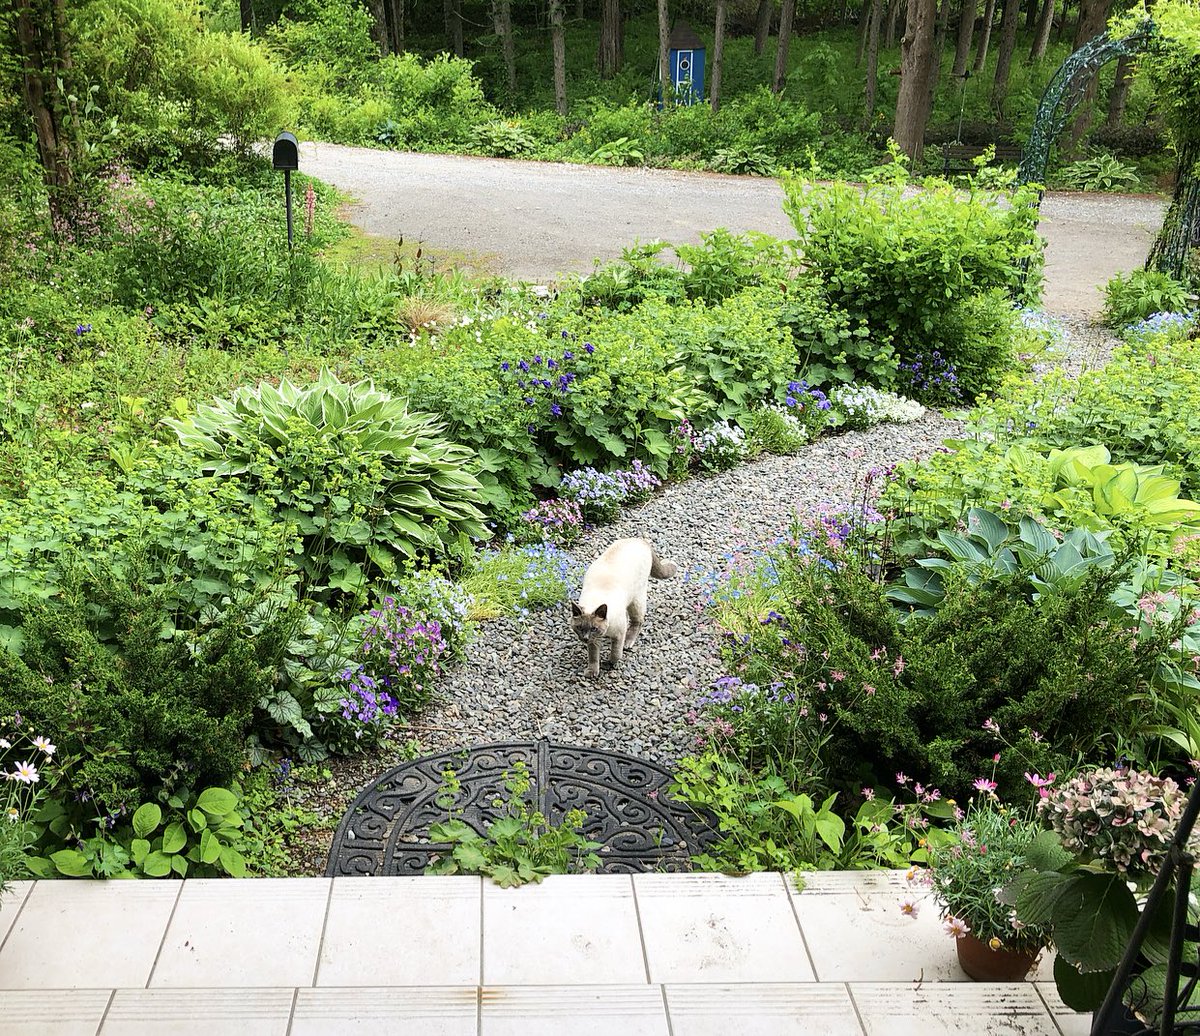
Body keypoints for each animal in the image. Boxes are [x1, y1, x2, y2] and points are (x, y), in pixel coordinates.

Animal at [570, 537, 677, 679]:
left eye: (593, 628)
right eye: (580, 628)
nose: (585, 638)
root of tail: (640, 540)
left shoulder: (618, 634)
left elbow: (616, 653)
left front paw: (610, 663)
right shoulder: (594, 641)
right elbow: (593, 656)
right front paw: (592, 672)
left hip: (636, 600)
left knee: (638, 622)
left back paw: (628, 642)